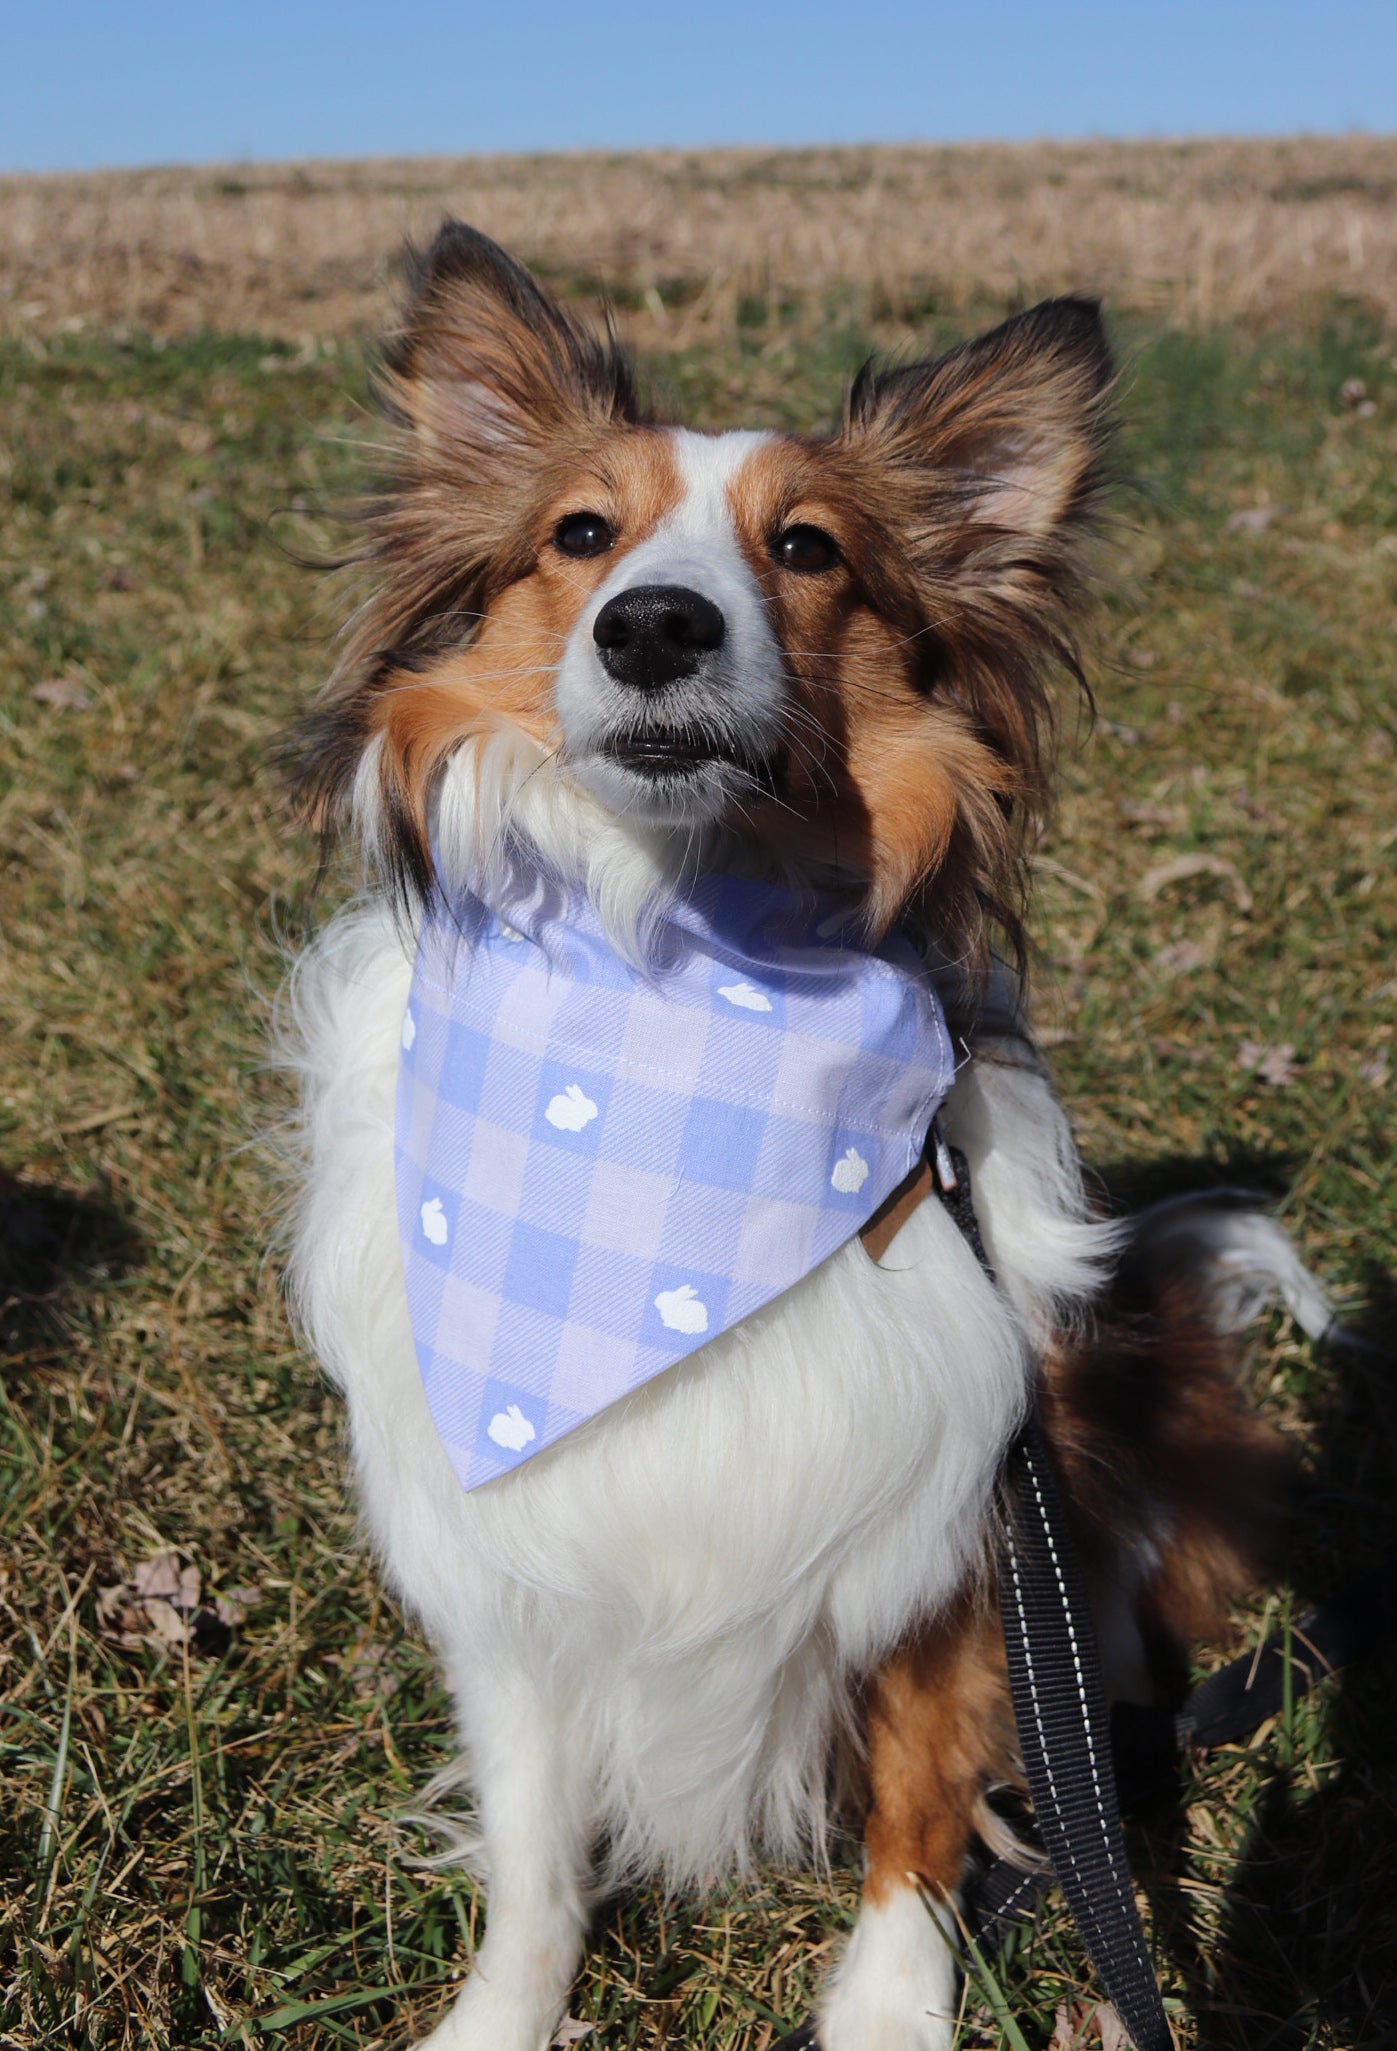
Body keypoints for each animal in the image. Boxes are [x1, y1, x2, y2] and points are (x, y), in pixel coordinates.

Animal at [276, 224, 1321, 2051]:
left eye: (809, 547)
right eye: (581, 534)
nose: (653, 625)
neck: (676, 980)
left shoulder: (955, 1524)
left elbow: (917, 1795)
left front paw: (892, 2008)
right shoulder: (515, 1562)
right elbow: (536, 1837)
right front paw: (503, 2012)